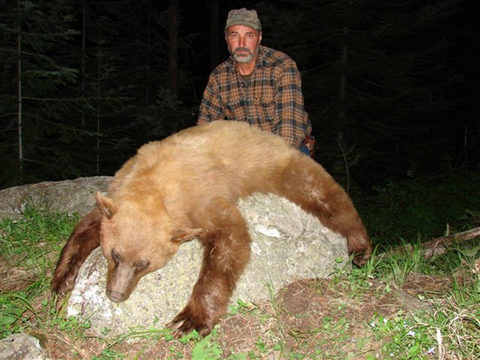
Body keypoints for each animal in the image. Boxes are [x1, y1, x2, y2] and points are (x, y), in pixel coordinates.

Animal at [51, 120, 372, 334]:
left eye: (144, 264)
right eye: (115, 255)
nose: (116, 295)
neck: (155, 182)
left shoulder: (202, 199)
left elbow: (231, 240)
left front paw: (189, 319)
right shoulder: (118, 193)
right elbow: (86, 226)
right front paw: (62, 279)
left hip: (284, 168)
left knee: (327, 198)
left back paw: (360, 249)